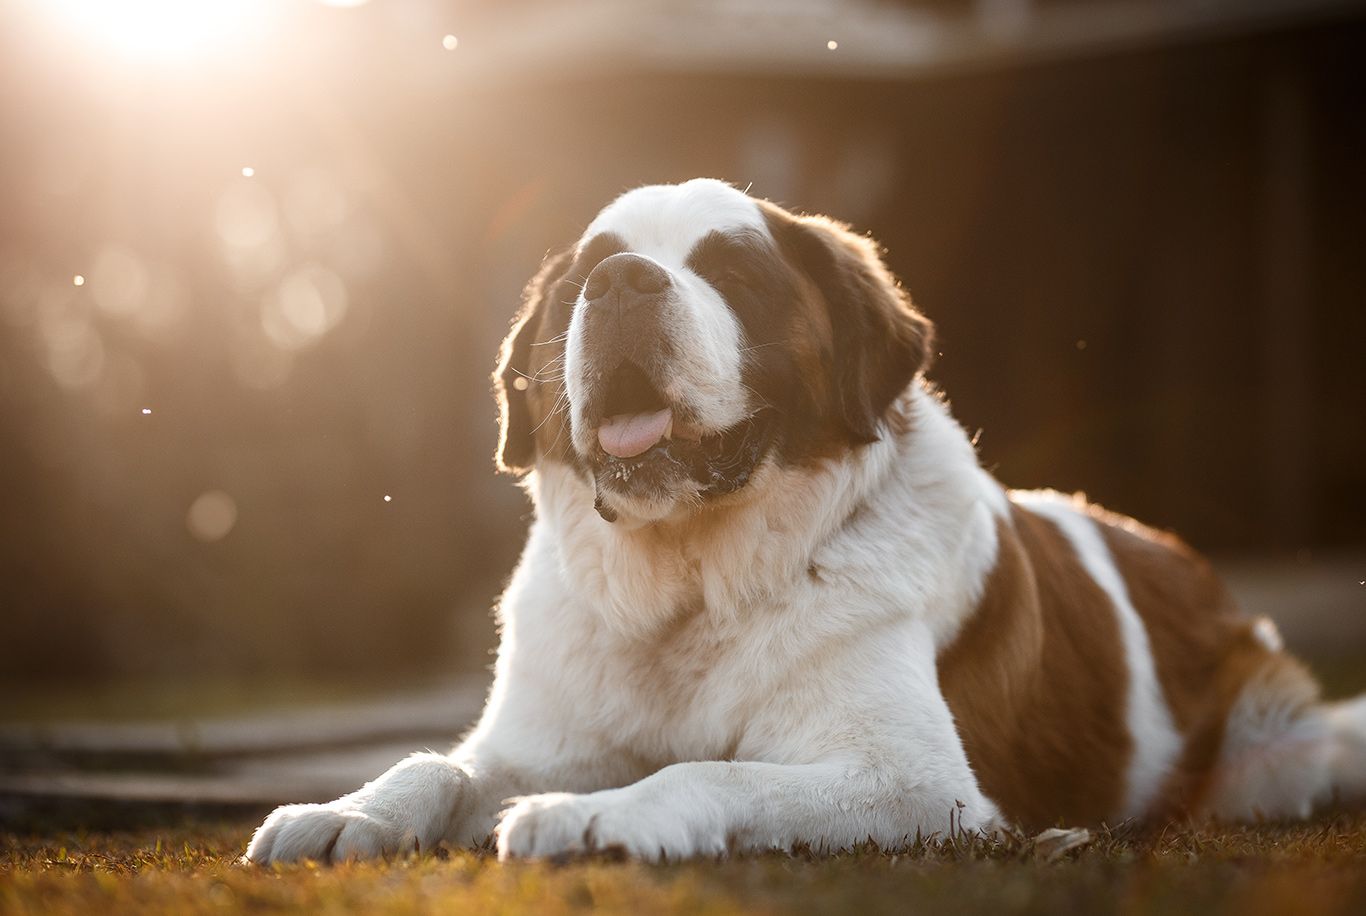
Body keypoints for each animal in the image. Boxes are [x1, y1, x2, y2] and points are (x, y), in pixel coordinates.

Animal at [245, 178, 1366, 868]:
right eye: (581, 279)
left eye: (732, 274)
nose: (619, 282)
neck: (691, 587)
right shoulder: (535, 735)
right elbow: (437, 761)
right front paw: (342, 812)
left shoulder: (911, 783)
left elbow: (711, 766)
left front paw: (596, 814)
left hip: (1267, 750)